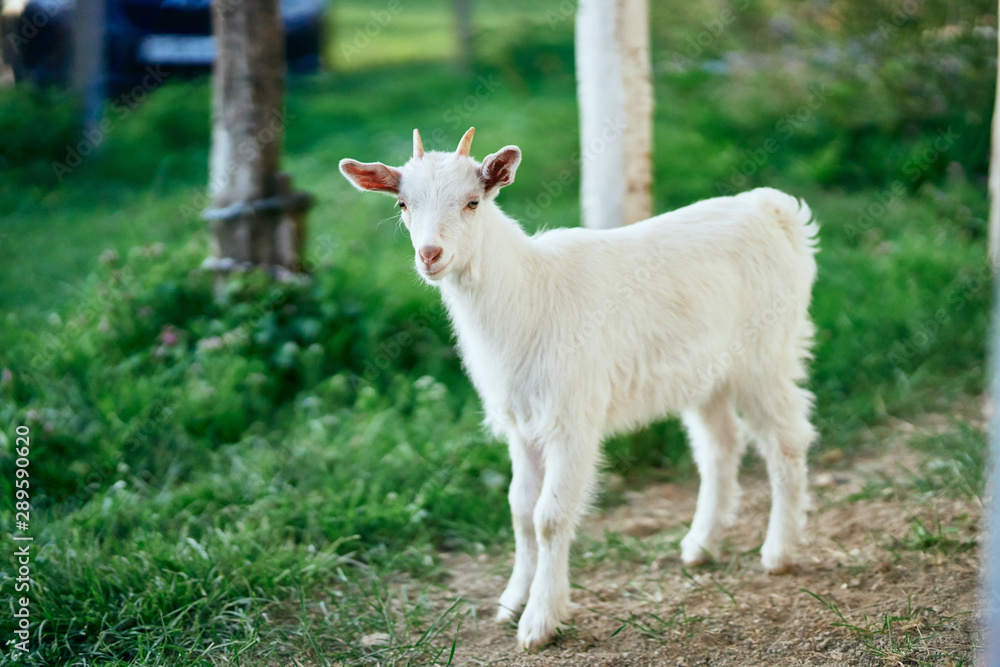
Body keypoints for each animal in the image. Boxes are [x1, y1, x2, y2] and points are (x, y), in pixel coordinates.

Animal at [338, 126, 820, 652]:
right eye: (403, 203)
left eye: (472, 202)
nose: (430, 256)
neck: (530, 291)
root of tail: (773, 210)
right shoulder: (521, 421)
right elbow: (520, 510)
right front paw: (512, 601)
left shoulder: (571, 418)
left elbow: (549, 517)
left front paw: (539, 621)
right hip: (707, 371)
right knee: (720, 445)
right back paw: (700, 544)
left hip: (766, 355)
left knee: (786, 441)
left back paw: (778, 552)